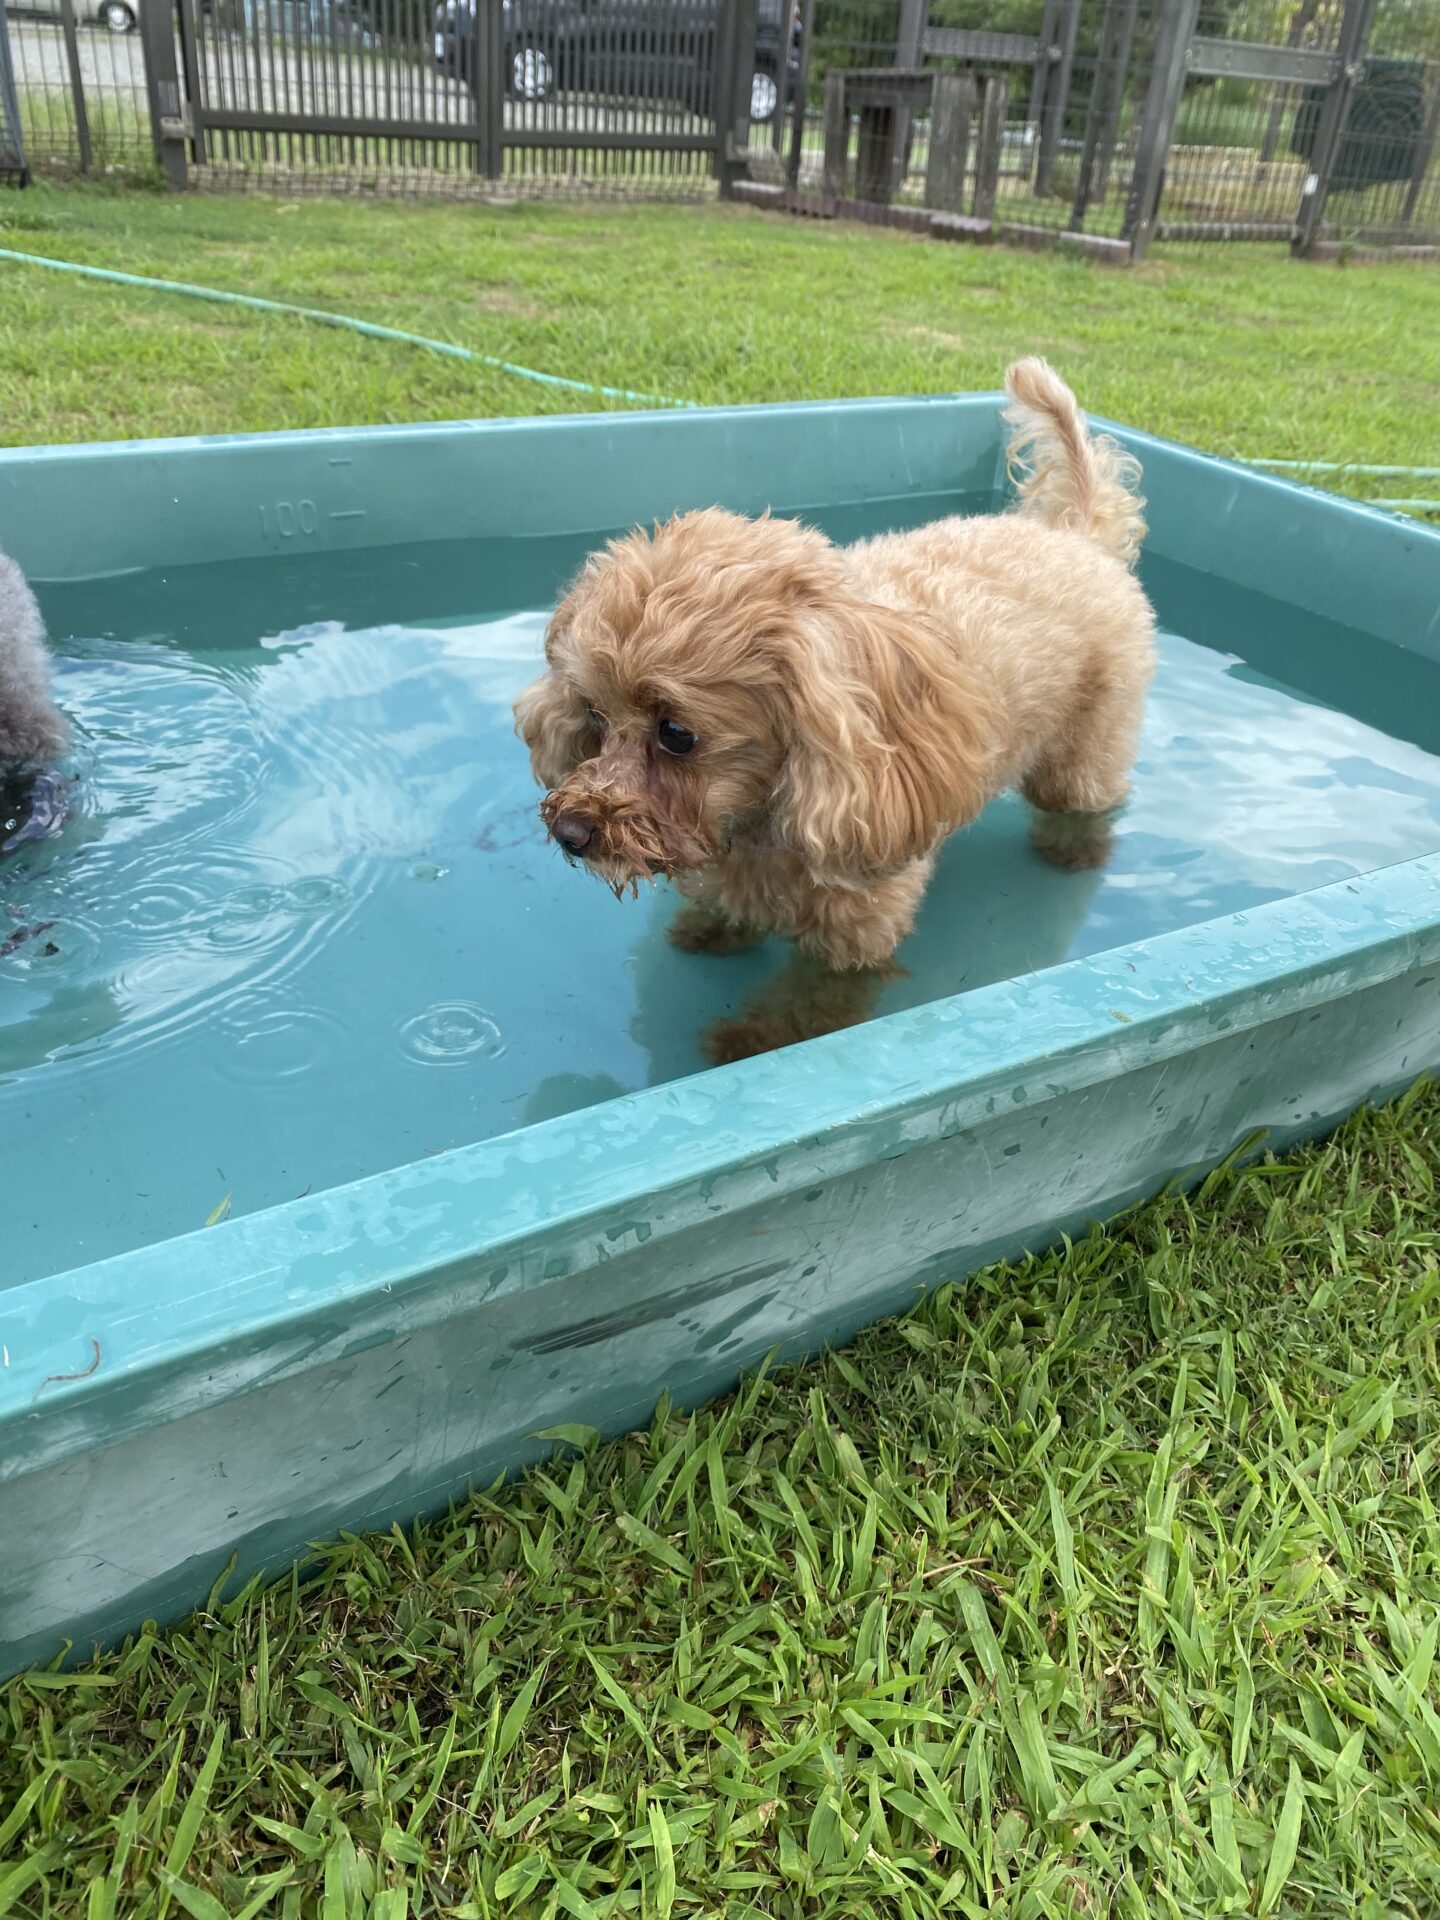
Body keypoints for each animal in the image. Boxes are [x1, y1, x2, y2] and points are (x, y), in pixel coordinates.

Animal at [515, 358, 1155, 1061]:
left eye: (677, 733)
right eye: (594, 716)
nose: (570, 831)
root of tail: (1076, 537)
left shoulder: (857, 927)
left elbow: (812, 1002)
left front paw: (752, 1041)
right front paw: (713, 930)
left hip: (1085, 742)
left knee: (1086, 796)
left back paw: (1074, 851)